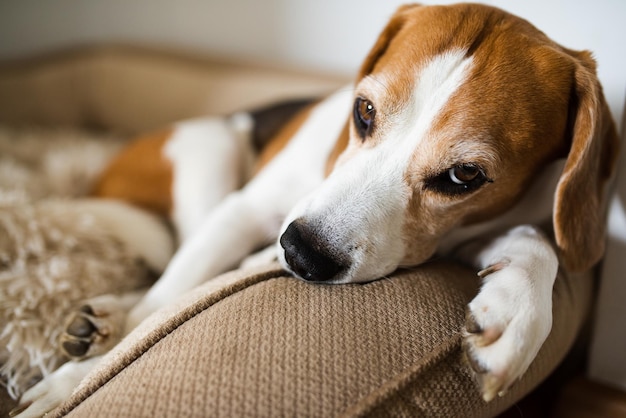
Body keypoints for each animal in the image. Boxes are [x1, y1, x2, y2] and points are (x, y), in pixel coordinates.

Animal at [12, 1, 616, 416]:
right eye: (364, 111)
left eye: (465, 175)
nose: (301, 254)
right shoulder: (241, 212)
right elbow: (160, 305)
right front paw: (76, 381)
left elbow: (537, 245)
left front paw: (515, 315)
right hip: (211, 149)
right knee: (169, 278)